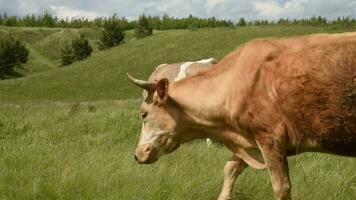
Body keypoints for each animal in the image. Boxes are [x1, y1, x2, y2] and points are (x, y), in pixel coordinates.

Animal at [128, 32, 356, 199]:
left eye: (143, 114)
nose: (138, 154)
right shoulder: (248, 140)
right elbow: (230, 169)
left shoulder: (270, 138)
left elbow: (281, 187)